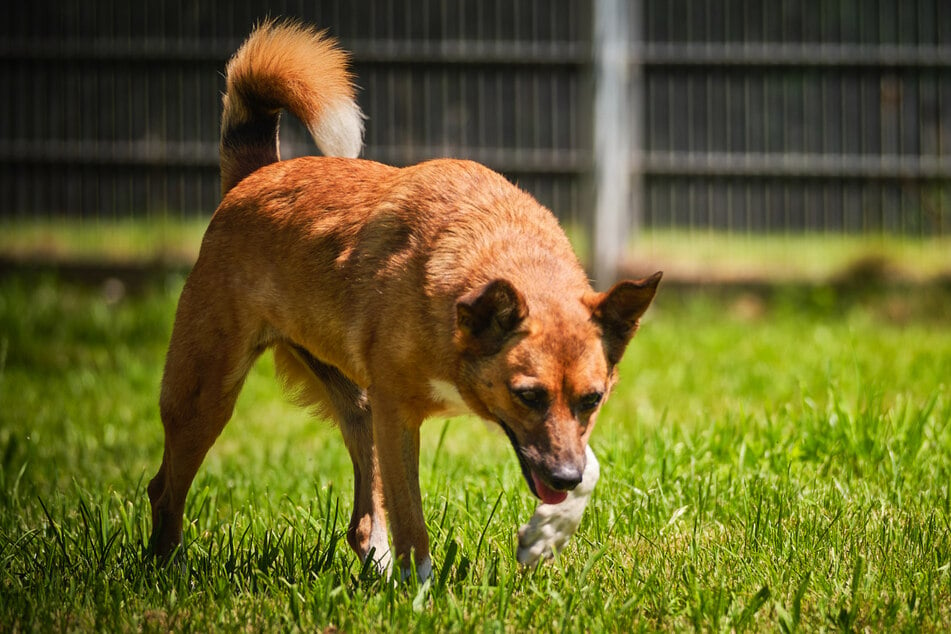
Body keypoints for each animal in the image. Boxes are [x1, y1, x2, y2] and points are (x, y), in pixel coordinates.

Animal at [147, 22, 660, 580]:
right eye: (528, 395)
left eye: (593, 399)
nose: (563, 477)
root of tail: (254, 174)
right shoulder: (398, 416)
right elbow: (412, 519)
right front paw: (421, 591)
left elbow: (593, 467)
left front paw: (548, 533)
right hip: (206, 395)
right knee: (164, 489)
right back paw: (163, 570)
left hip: (356, 401)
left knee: (363, 520)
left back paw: (374, 571)